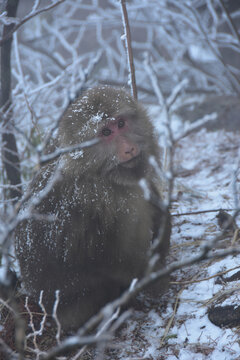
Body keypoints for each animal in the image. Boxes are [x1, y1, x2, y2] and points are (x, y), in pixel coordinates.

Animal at [15, 86, 171, 330]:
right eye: (106, 132)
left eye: (121, 123)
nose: (129, 149)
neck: (93, 170)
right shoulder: (104, 199)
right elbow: (118, 260)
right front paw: (157, 279)